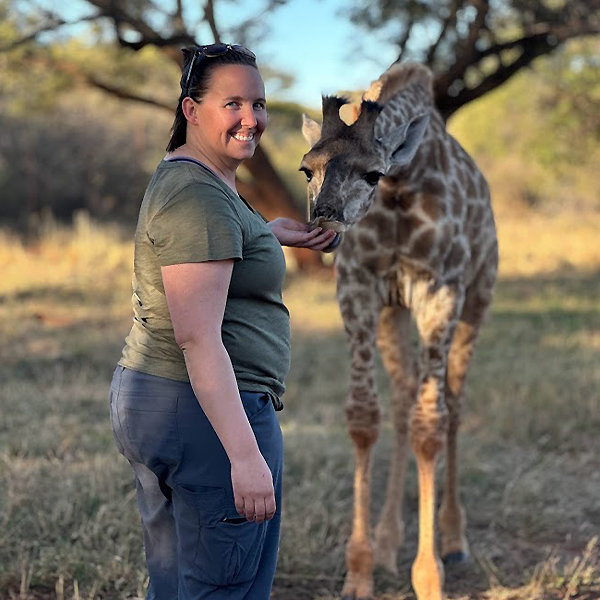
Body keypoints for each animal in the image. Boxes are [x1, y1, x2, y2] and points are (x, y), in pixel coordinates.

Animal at [298, 62, 496, 600]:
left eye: (374, 172)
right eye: (307, 168)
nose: (324, 223)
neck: (402, 183)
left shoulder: (440, 291)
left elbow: (432, 423)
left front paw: (429, 576)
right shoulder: (360, 290)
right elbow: (365, 418)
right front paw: (360, 569)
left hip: (478, 295)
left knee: (453, 405)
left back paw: (454, 538)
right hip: (395, 313)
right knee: (406, 400)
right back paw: (389, 540)